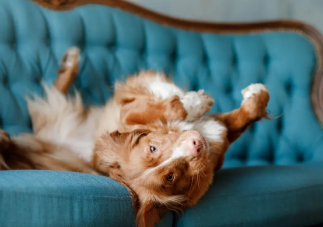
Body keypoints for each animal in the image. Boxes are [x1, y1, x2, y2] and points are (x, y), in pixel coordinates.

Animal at [0, 47, 270, 226]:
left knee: (57, 90)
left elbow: (251, 110)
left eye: (152, 148)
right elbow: (177, 107)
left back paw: (70, 60)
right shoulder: (129, 105)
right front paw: (195, 101)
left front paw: (254, 94)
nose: (196, 145)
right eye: (170, 177)